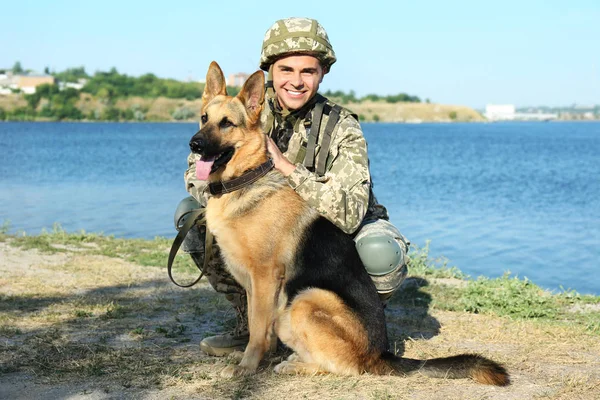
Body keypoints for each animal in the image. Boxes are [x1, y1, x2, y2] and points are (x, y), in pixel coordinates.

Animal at [190, 61, 508, 384]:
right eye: (204, 118)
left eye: (227, 123)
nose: (195, 144)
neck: (246, 178)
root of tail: (381, 353)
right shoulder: (255, 285)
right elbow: (259, 327)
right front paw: (250, 358)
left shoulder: (265, 278)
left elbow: (258, 331)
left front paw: (247, 366)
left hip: (306, 299)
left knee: (346, 366)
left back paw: (295, 365)